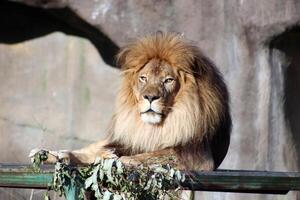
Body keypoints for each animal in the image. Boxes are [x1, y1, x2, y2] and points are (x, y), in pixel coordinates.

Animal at [29, 32, 232, 171]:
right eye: (143, 78)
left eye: (168, 80)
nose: (150, 97)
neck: (156, 127)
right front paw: (111, 155)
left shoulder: (199, 158)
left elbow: (157, 154)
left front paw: (126, 159)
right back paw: (48, 153)